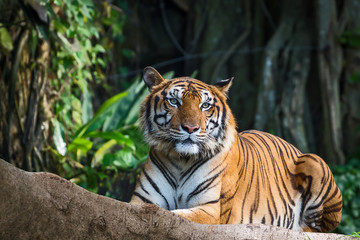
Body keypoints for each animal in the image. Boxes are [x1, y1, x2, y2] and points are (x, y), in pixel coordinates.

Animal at [129, 66, 340, 232]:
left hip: (313, 161)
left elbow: (173, 214)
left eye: (205, 105)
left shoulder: (210, 209)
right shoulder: (141, 200)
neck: (180, 160)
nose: (190, 128)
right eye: (174, 101)